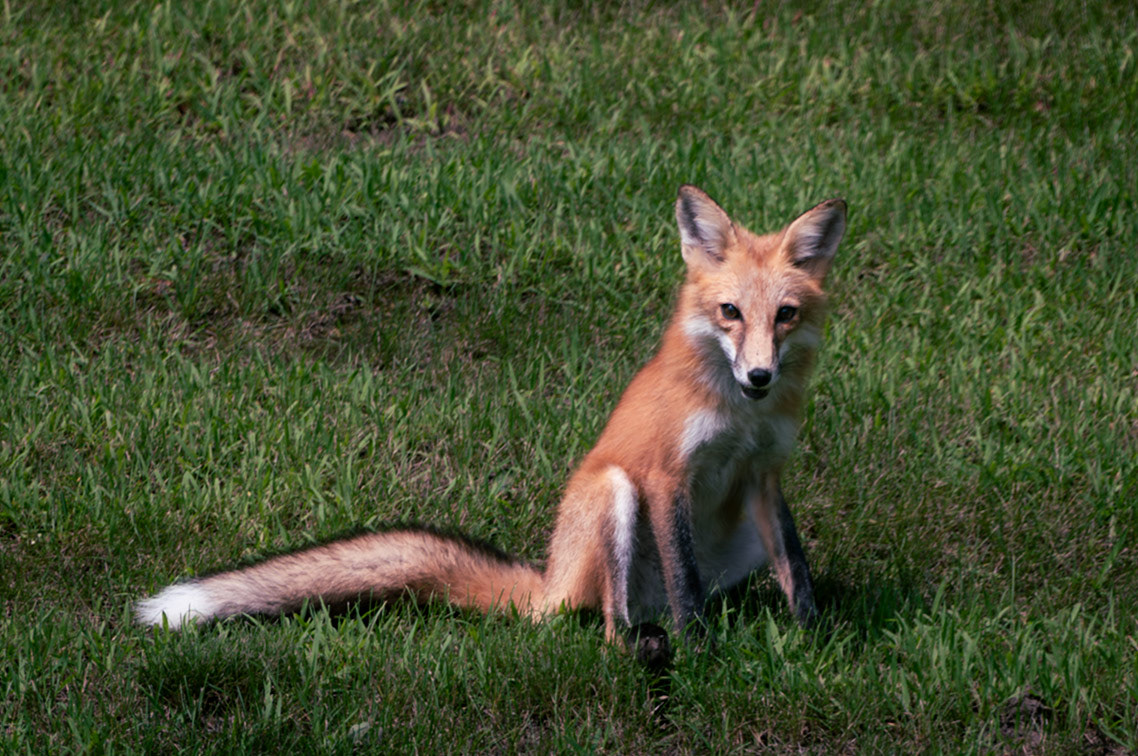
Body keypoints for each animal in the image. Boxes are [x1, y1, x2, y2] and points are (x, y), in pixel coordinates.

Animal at [136, 186, 847, 658]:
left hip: (735, 536)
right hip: (614, 493)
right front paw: (701, 651)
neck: (738, 417)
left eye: (784, 315)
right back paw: (644, 646)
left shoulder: (764, 475)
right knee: (606, 622)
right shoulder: (665, 472)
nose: (759, 377)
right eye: (730, 312)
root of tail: (548, 584)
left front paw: (815, 641)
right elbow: (687, 583)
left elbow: (795, 567)